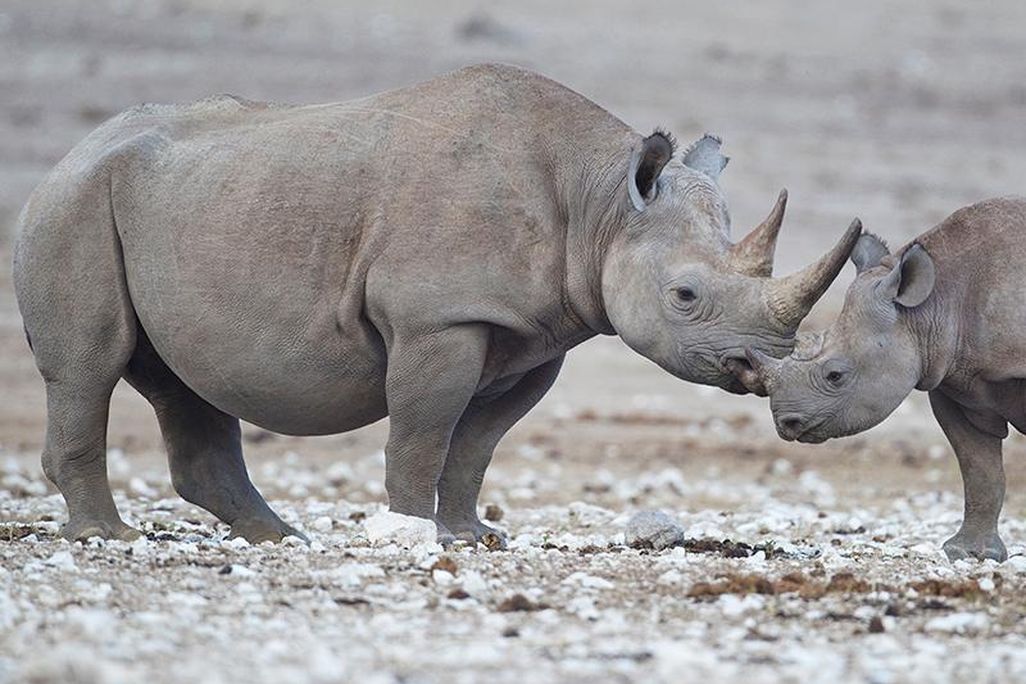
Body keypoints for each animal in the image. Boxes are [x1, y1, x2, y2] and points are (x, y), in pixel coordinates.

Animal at [13, 63, 860, 546]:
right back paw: (109, 538)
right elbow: (424, 431)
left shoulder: (534, 336)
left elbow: (476, 444)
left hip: (173, 204)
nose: (759, 368)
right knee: (89, 365)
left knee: (182, 380)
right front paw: (416, 533)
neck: (600, 203)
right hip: (73, 206)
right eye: (685, 296)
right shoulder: (439, 317)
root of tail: (68, 156)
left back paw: (280, 541)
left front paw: (470, 536)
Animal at [741, 197, 1026, 561]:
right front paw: (969, 554)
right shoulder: (952, 379)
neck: (934, 304)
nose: (785, 424)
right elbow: (979, 468)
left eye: (835, 376)